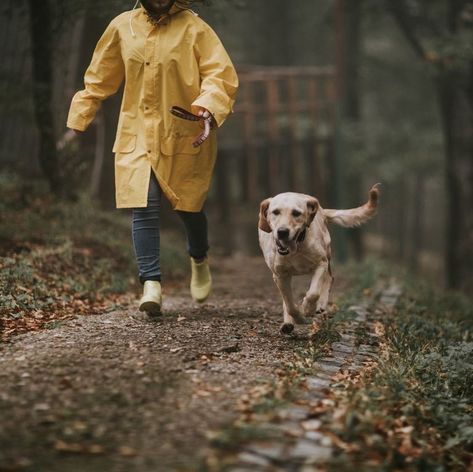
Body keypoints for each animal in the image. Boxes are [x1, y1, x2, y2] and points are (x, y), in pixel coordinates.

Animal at [258, 183, 380, 334]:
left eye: (296, 213)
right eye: (275, 212)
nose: (282, 232)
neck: (297, 248)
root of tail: (321, 210)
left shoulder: (320, 264)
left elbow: (313, 293)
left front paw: (307, 309)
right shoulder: (280, 275)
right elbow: (290, 305)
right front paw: (297, 317)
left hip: (327, 255)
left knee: (329, 278)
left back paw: (320, 305)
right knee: (287, 301)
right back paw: (288, 324)